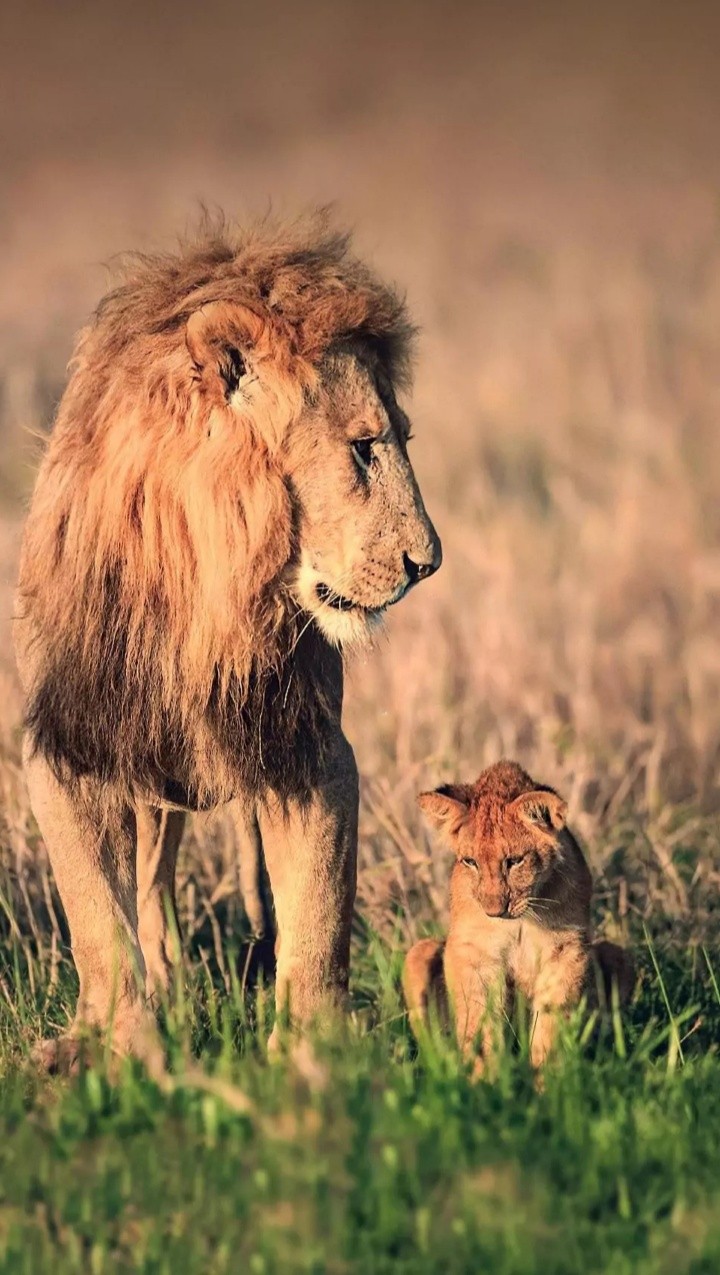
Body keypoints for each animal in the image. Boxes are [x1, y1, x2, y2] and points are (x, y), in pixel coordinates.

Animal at [14, 214, 441, 1073]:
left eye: (399, 440)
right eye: (364, 448)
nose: (429, 562)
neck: (212, 600)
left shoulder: (310, 751)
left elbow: (318, 917)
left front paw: (316, 1057)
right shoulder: (68, 744)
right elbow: (96, 915)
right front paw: (118, 1048)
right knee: (148, 885)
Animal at [403, 761, 634, 1075]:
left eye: (514, 861)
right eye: (470, 862)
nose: (494, 911)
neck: (523, 920)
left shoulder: (565, 949)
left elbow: (552, 1020)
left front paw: (550, 1077)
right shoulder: (473, 953)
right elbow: (480, 1023)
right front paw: (486, 1079)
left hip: (618, 955)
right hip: (418, 951)